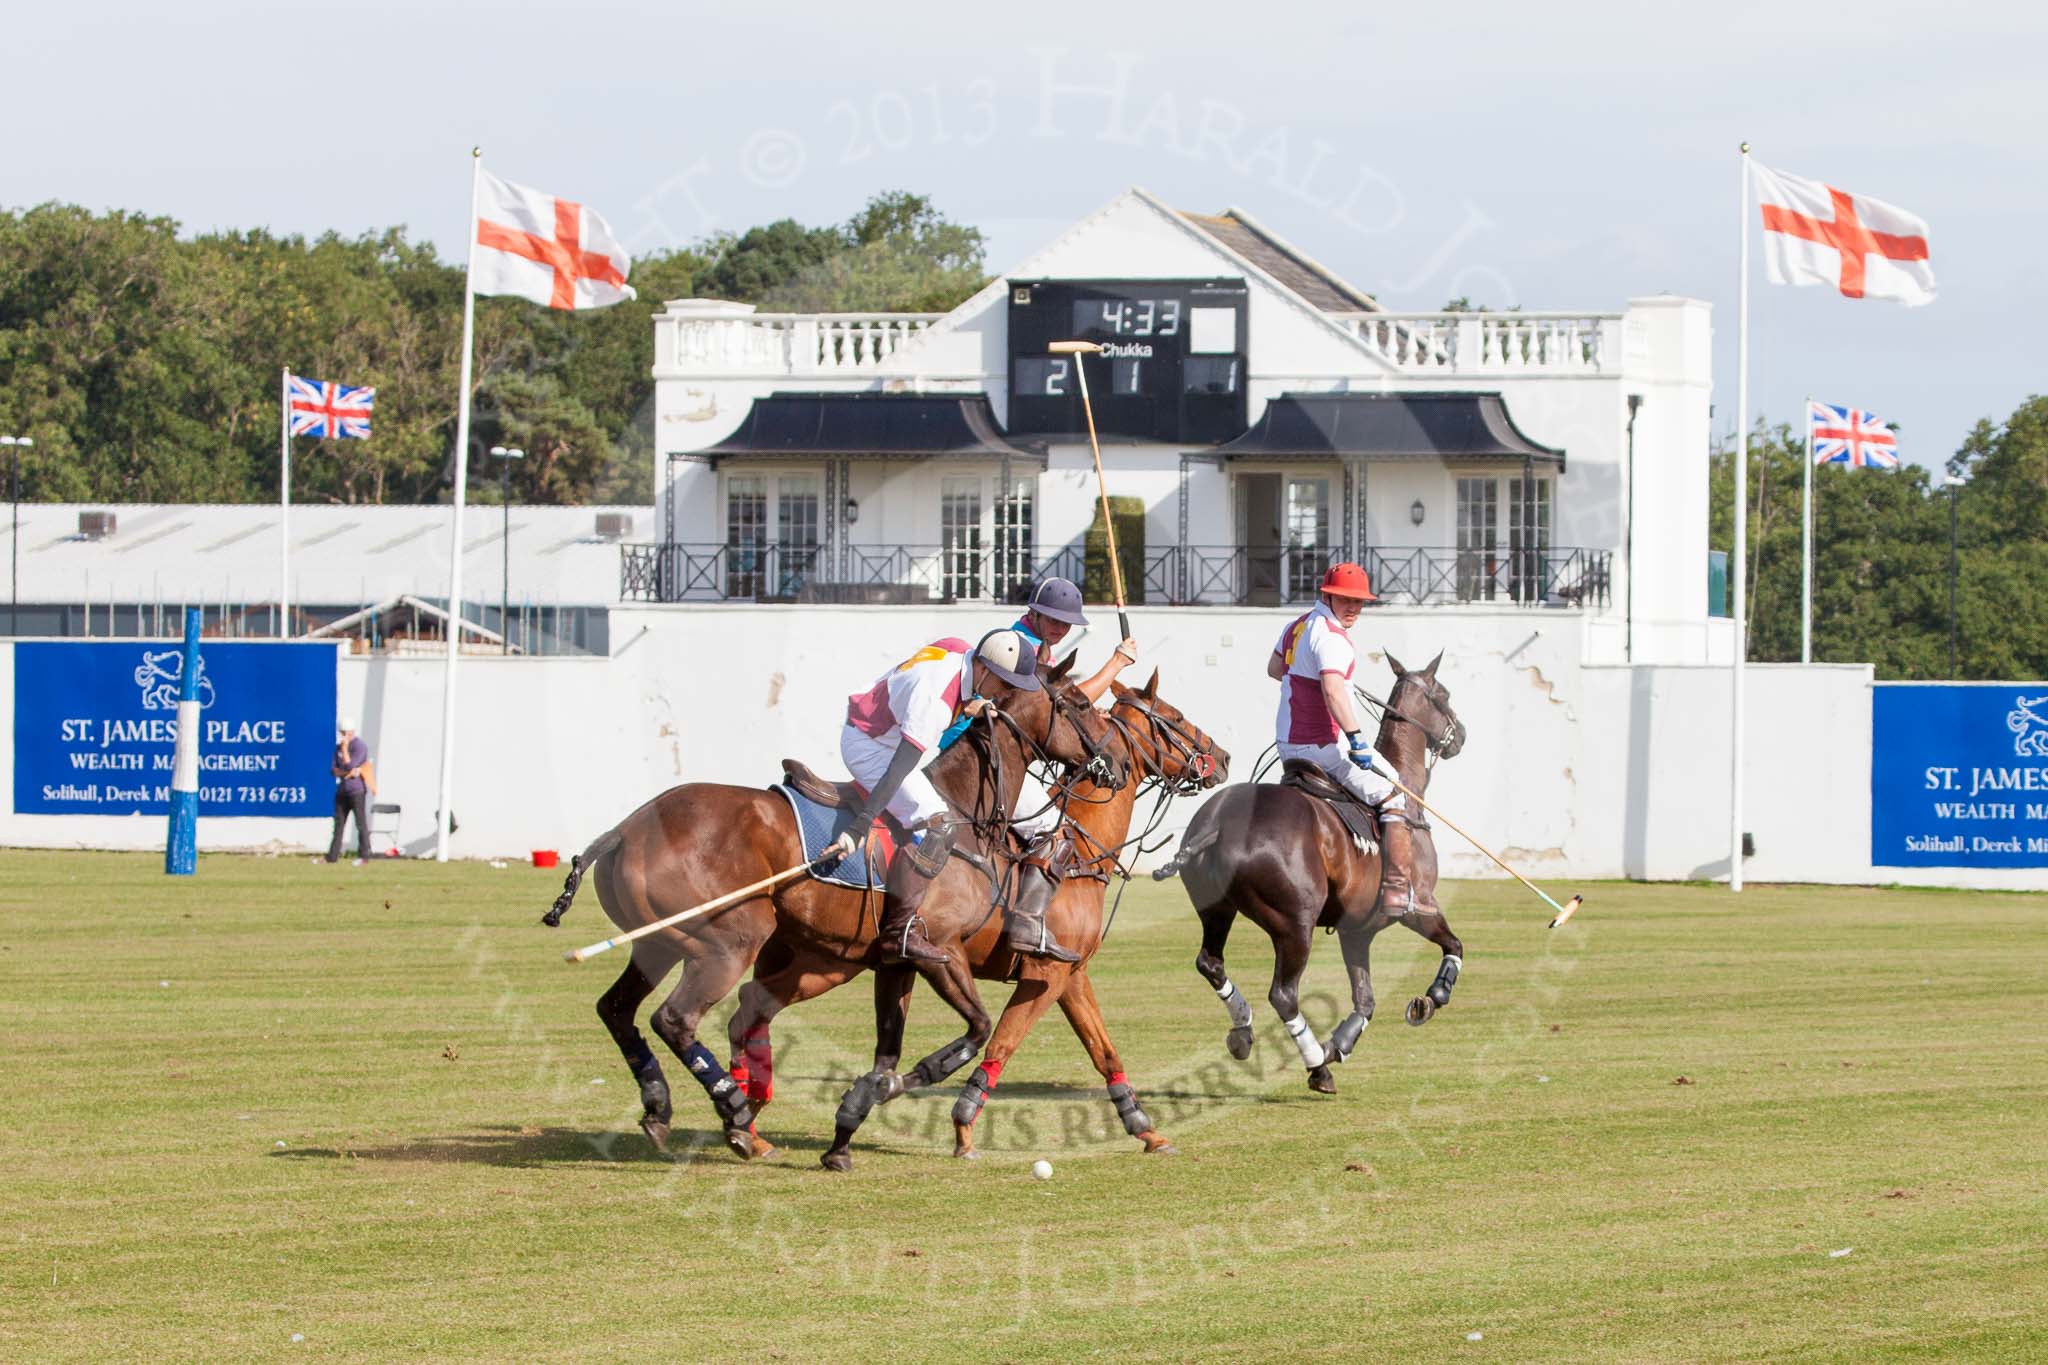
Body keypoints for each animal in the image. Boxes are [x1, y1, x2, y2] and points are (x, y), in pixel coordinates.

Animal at [544, 663, 1122, 1162]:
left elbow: (892, 1047)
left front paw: (851, 1123)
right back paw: (735, 1111)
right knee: (675, 1018)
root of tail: (627, 827)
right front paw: (885, 1094)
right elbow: (976, 1031)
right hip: (730, 941)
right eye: (1078, 702)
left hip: (657, 943)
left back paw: (662, 1106)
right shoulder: (937, 950)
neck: (963, 809)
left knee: (618, 1008)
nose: (1112, 763)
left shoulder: (895, 961)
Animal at [720, 667, 1220, 1170]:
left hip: (826, 960)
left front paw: (1146, 1129)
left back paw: (748, 1122)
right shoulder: (1039, 971)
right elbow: (999, 1042)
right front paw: (960, 1128)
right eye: (1176, 718)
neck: (1079, 853)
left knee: (752, 1003)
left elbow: (1104, 1051)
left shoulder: (1071, 973)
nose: (1223, 757)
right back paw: (747, 1115)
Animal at [1163, 654, 1466, 1096]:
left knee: (1210, 963)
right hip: (1295, 923)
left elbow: (1365, 1000)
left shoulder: (1356, 930)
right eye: (1443, 693)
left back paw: (1243, 1032)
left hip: (1216, 907)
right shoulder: (1419, 907)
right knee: (1283, 994)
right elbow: (1454, 946)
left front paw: (1340, 1043)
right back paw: (1317, 1067)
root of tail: (1217, 824)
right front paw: (1431, 998)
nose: (1461, 735)